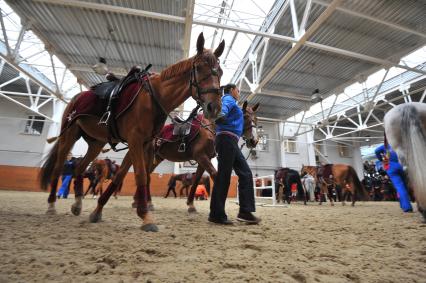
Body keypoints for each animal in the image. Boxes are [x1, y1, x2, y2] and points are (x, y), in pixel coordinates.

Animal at [40, 33, 225, 233]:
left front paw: (97, 210)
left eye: (220, 72)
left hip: (97, 143)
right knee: (58, 167)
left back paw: (78, 204)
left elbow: (121, 174)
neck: (154, 98)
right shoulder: (136, 141)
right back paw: (51, 205)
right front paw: (146, 216)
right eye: (198, 68)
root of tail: (77, 97)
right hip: (69, 135)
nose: (214, 107)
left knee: (80, 168)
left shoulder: (143, 143)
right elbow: (141, 175)